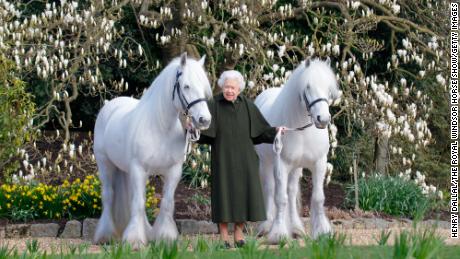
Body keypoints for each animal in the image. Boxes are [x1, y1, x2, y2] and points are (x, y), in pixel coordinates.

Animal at [93, 52, 212, 248]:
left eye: (204, 88)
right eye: (186, 86)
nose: (204, 120)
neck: (160, 127)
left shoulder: (173, 171)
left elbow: (166, 203)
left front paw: (165, 237)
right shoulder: (139, 169)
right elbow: (139, 203)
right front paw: (134, 240)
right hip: (105, 165)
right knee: (108, 196)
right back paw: (106, 235)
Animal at [255, 57, 342, 244]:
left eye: (328, 88)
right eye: (308, 86)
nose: (323, 119)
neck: (302, 131)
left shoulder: (319, 164)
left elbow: (318, 198)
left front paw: (322, 232)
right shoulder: (281, 165)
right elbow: (280, 199)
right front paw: (278, 234)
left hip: (295, 168)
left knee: (291, 190)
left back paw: (296, 228)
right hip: (266, 164)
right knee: (270, 190)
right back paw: (266, 226)